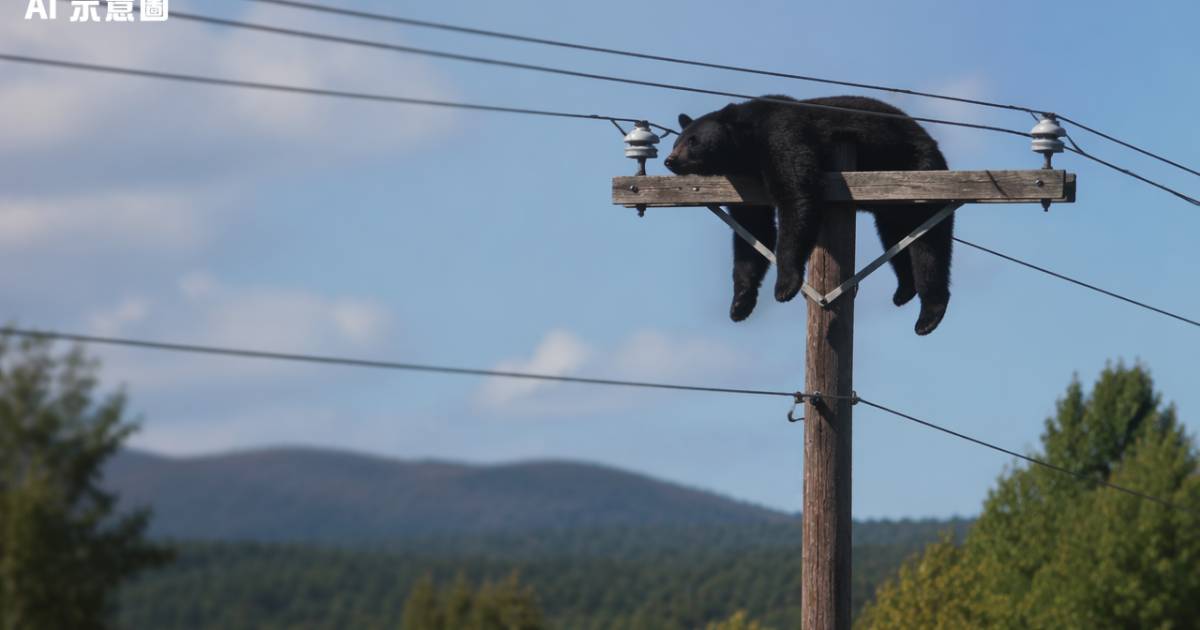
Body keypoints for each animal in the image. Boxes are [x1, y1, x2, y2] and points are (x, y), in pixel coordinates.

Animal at [663, 95, 954, 335]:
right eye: (676, 141)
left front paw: (785, 286)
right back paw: (904, 290)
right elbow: (754, 230)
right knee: (894, 234)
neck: (747, 148)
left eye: (693, 141)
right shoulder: (744, 181)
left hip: (918, 170)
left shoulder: (783, 135)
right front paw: (740, 303)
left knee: (929, 246)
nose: (670, 160)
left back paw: (929, 315)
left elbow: (796, 197)